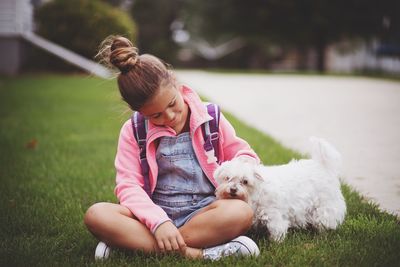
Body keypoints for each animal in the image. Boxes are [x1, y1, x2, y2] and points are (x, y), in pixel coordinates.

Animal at [216, 138, 346, 243]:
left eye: (245, 181)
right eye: (227, 178)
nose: (233, 189)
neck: (258, 191)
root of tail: (324, 166)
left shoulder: (274, 215)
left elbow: (277, 229)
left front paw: (275, 242)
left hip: (325, 207)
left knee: (325, 220)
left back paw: (322, 234)